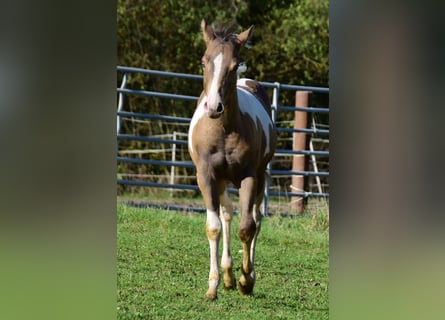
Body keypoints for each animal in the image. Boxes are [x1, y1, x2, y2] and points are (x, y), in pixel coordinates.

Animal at [186, 19, 274, 300]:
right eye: (204, 62)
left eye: (233, 66)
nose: (214, 107)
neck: (223, 130)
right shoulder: (205, 175)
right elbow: (213, 226)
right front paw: (213, 286)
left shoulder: (249, 175)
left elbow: (247, 227)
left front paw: (246, 280)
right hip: (222, 180)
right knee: (226, 214)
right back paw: (227, 276)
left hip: (259, 177)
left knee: (256, 218)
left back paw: (244, 277)